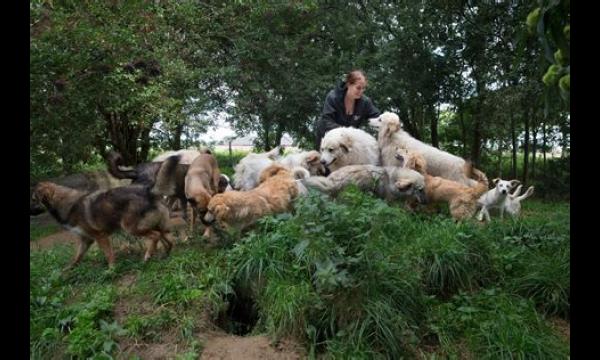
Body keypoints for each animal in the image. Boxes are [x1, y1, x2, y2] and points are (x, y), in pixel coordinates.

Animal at [31, 181, 175, 268]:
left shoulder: (100, 236)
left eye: (33, 199)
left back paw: (148, 256)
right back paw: (166, 253)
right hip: (153, 224)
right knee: (164, 237)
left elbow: (108, 254)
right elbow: (77, 256)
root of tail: (149, 192)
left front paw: (111, 269)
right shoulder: (86, 239)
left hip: (130, 228)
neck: (68, 205)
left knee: (155, 236)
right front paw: (68, 269)